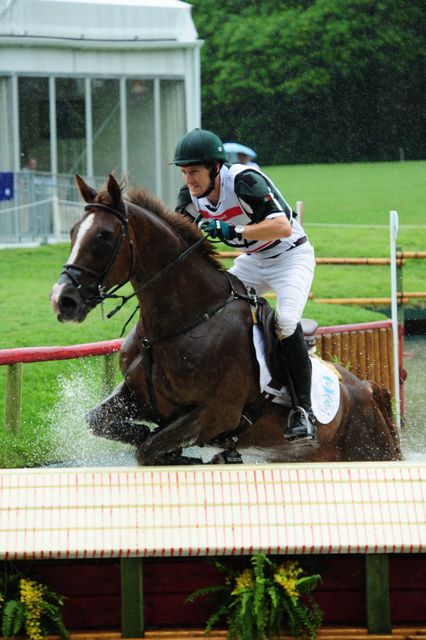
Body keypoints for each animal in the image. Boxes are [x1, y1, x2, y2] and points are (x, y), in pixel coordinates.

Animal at [49, 174, 402, 465]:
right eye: (72, 233)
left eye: (104, 236)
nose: (63, 300)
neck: (179, 325)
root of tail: (366, 388)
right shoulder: (136, 399)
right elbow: (103, 424)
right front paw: (178, 451)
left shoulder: (216, 414)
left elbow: (148, 448)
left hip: (370, 449)